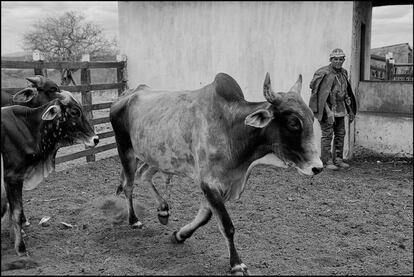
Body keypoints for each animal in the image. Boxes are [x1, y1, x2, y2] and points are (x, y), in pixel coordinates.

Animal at [0, 90, 99, 256]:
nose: (96, 139)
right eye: (74, 112)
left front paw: (14, 237)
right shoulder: (12, 177)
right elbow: (16, 212)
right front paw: (21, 248)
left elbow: (12, 209)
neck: (29, 127)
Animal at [110, 71, 324, 274]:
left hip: (157, 157)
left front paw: (180, 235)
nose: (317, 167)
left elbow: (205, 216)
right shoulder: (209, 183)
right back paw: (134, 220)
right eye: (293, 123)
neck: (231, 130)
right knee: (129, 185)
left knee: (144, 175)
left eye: (311, 118)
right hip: (126, 150)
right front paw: (237, 264)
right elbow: (227, 226)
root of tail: (127, 95)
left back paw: (163, 210)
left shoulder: (220, 184)